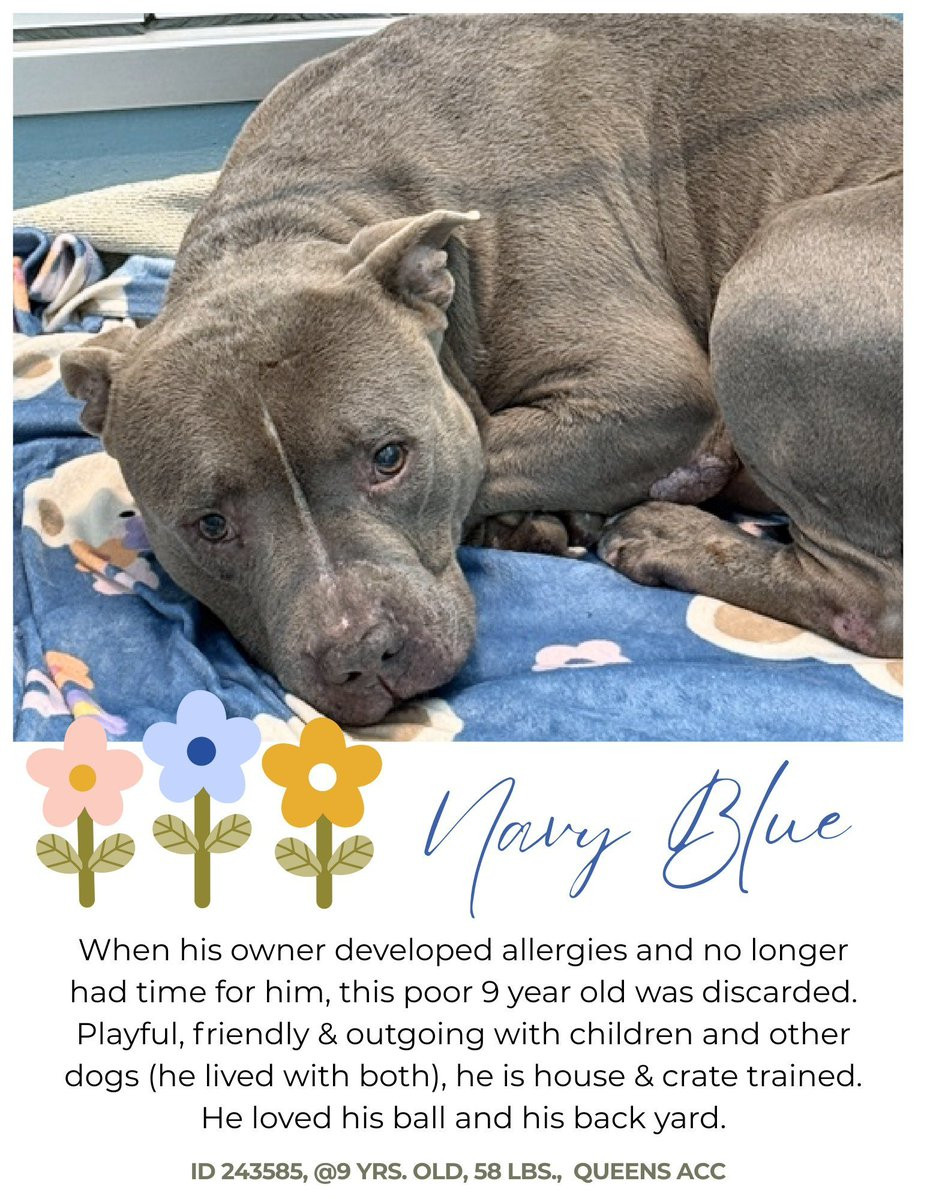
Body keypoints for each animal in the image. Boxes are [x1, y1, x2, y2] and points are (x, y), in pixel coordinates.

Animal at [60, 14, 902, 725]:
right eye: (209, 524)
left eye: (390, 458)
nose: (363, 651)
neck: (293, 213)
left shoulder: (645, 391)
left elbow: (483, 451)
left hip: (778, 278)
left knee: (870, 597)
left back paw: (668, 534)